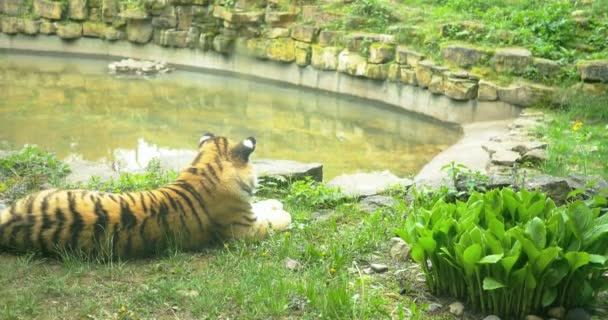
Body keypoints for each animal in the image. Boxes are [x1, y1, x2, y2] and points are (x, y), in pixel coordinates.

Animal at [0, 132, 292, 258]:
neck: (205, 166)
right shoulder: (246, 229)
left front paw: (275, 202)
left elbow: (263, 204)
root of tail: (9, 222)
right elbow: (272, 220)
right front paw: (284, 212)